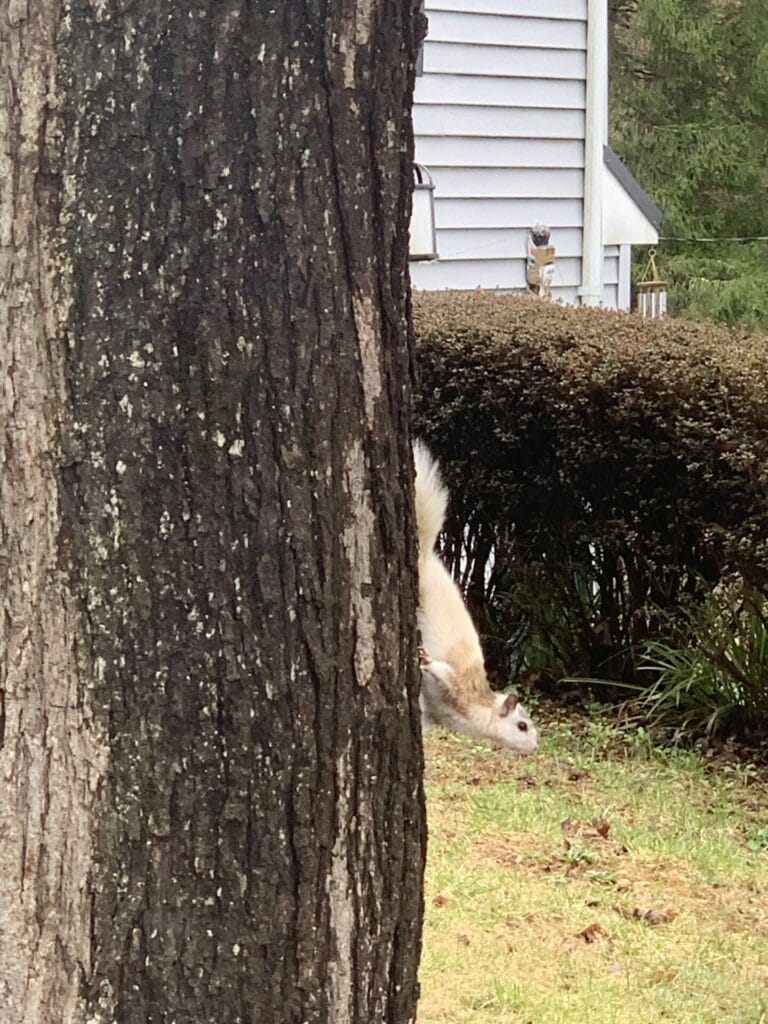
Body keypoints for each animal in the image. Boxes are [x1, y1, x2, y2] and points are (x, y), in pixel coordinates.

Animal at [415, 436, 540, 757]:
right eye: (522, 726)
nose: (534, 747)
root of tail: (426, 557)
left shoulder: (436, 712)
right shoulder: (459, 686)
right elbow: (442, 671)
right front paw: (426, 661)